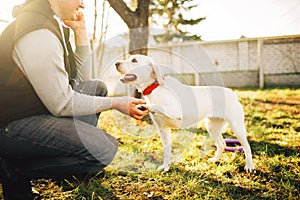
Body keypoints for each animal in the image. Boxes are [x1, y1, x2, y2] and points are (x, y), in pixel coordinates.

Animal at [113, 54, 254, 172]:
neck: (155, 88)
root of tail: (232, 93)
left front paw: (145, 106)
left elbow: (157, 106)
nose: (116, 63)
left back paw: (249, 166)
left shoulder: (175, 110)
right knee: (222, 144)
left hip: (237, 127)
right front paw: (166, 167)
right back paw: (215, 160)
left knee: (247, 147)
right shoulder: (163, 130)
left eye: (134, 60)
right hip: (212, 127)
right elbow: (167, 151)